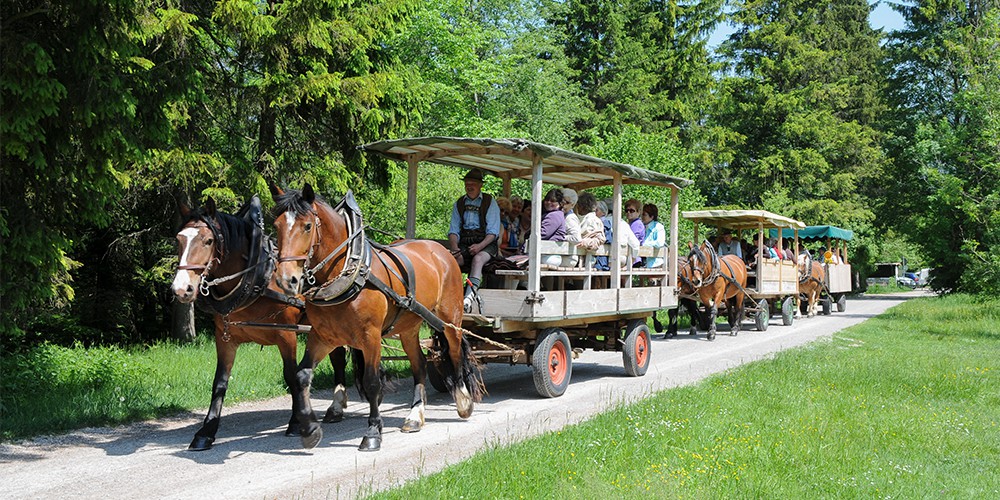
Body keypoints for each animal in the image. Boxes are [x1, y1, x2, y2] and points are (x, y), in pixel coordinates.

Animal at [169, 196, 348, 454]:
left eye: (208, 240)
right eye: (179, 239)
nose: (181, 289)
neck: (258, 277)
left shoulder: (286, 334)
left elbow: (291, 376)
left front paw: (297, 423)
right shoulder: (225, 337)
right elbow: (219, 383)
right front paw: (205, 432)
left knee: (339, 358)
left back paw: (336, 406)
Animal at [270, 185, 480, 454]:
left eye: (307, 226)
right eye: (276, 225)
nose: (287, 279)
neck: (347, 269)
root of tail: (443, 251)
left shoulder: (370, 336)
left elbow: (371, 382)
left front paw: (372, 433)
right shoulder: (323, 336)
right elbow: (302, 376)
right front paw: (309, 430)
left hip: (449, 320)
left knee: (454, 352)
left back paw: (463, 400)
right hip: (408, 327)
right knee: (420, 364)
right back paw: (415, 416)